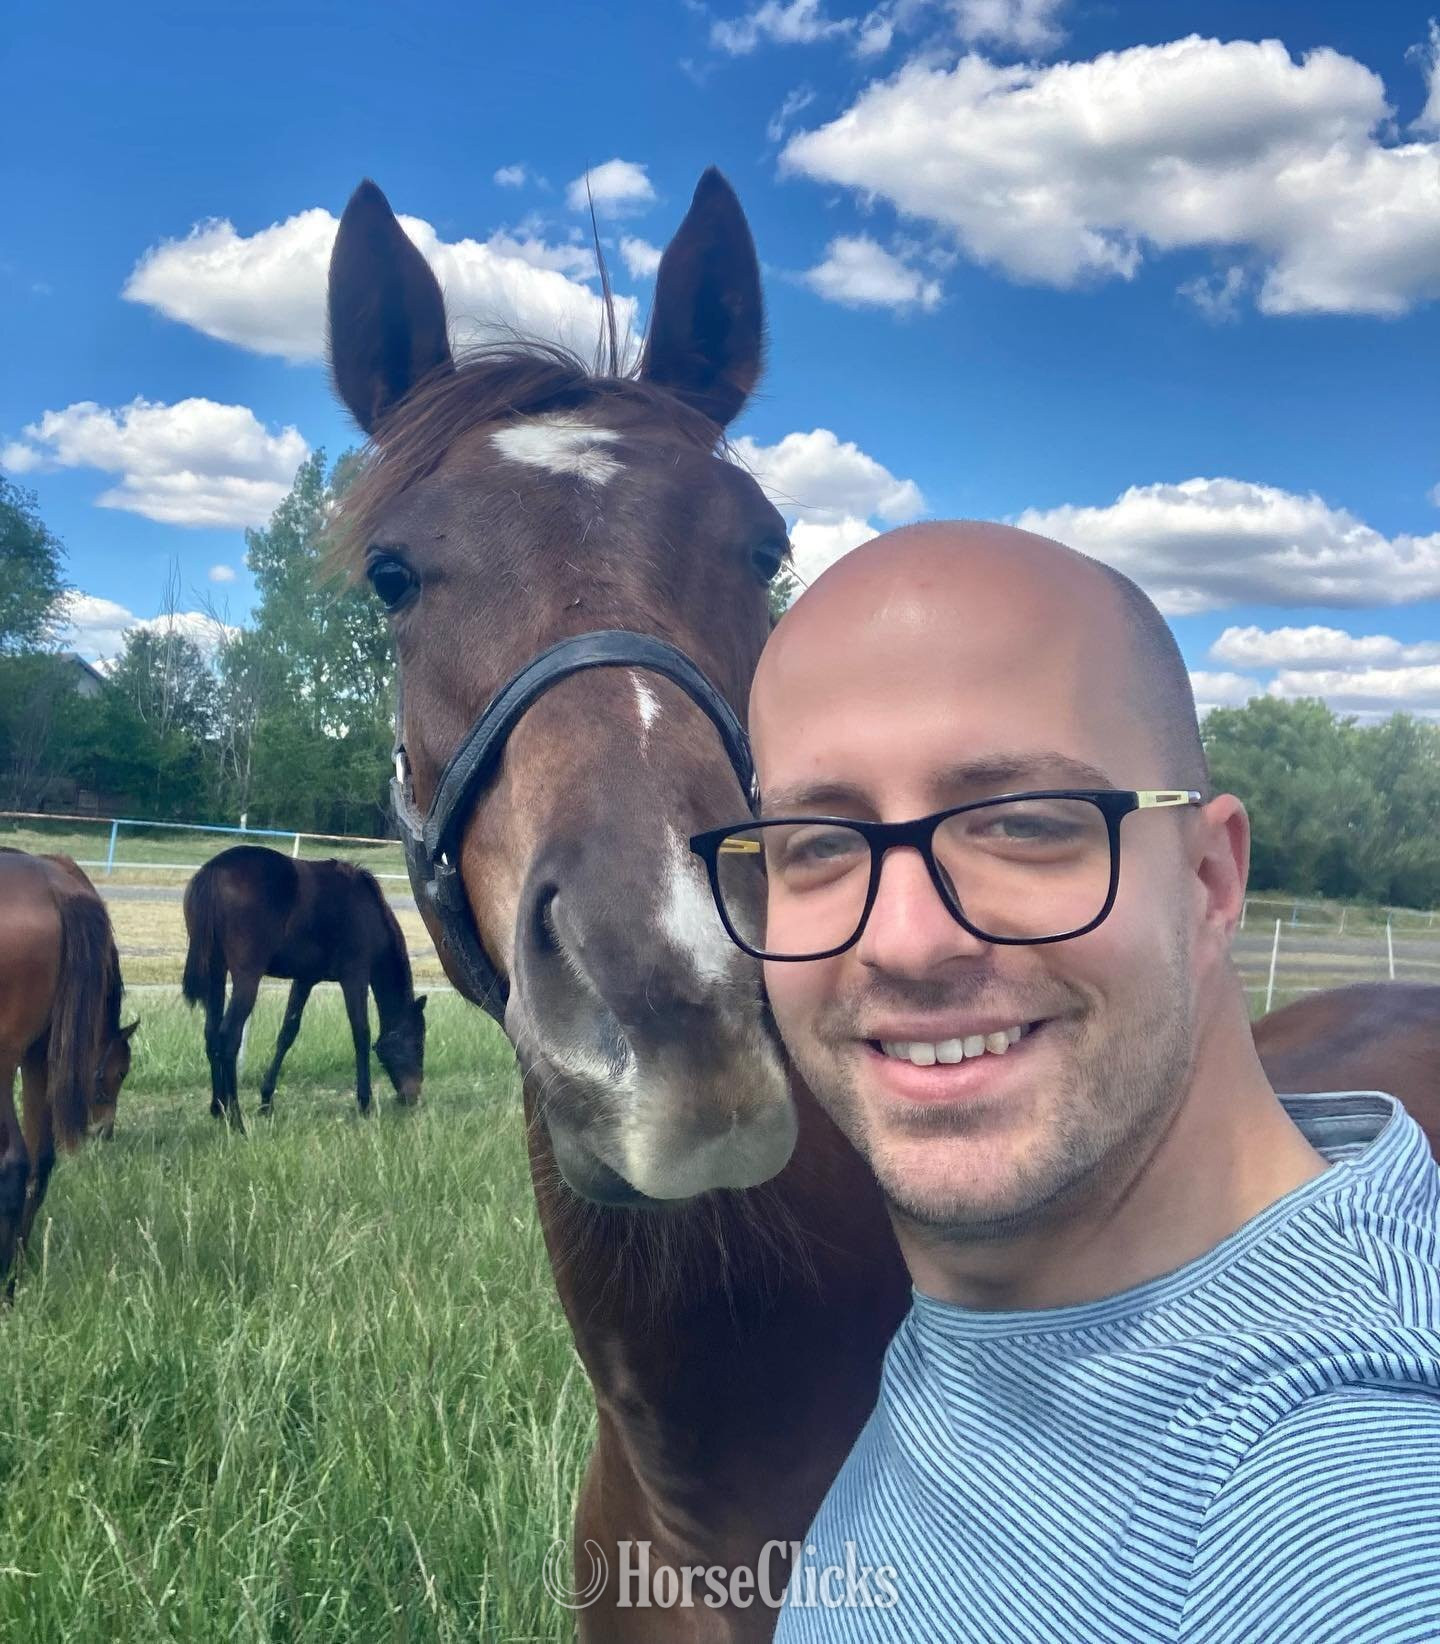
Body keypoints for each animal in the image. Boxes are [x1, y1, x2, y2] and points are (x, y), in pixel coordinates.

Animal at [0, 848, 137, 1287]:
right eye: (117, 1073)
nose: (104, 1130)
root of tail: (55, 890)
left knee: (15, 1163)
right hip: (37, 1058)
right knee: (40, 1161)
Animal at [181, 845, 427, 1124]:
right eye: (418, 1043)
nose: (413, 1096)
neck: (368, 911)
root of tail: (214, 869)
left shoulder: (305, 979)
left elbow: (287, 1033)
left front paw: (266, 1100)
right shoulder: (355, 977)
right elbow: (361, 1034)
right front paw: (364, 1103)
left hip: (216, 972)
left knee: (211, 1034)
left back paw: (218, 1107)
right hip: (246, 979)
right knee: (228, 1037)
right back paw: (235, 1117)